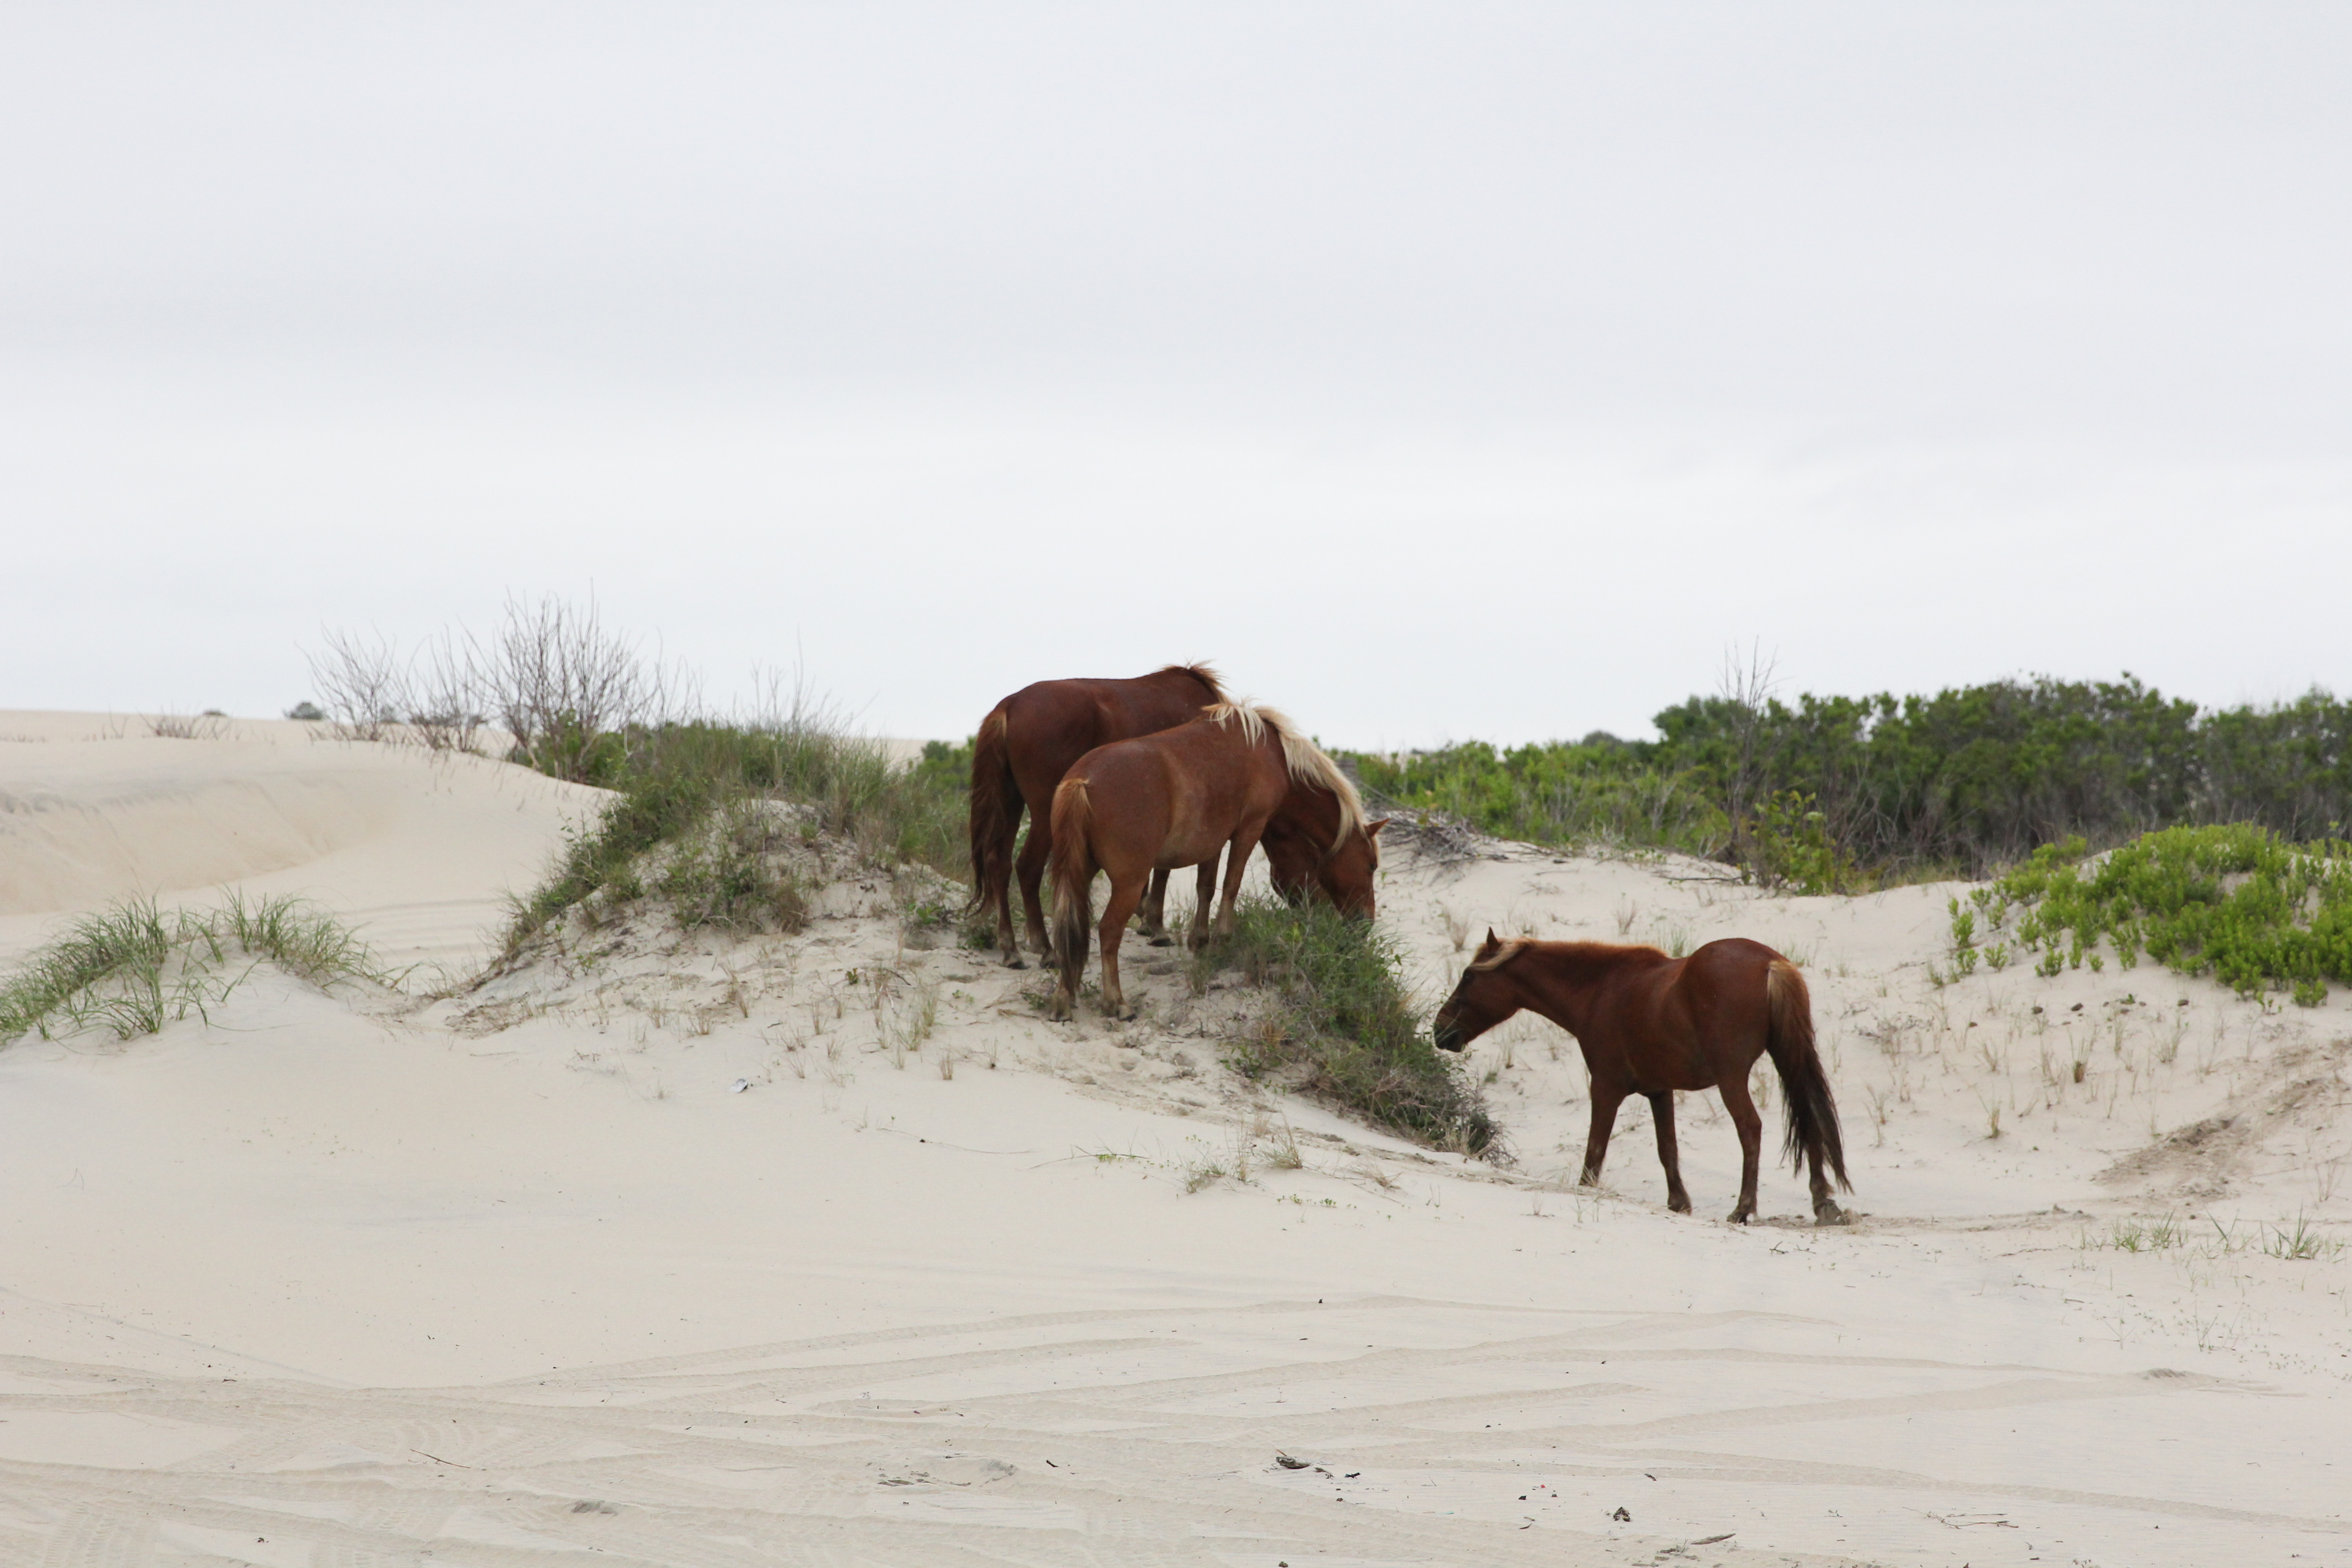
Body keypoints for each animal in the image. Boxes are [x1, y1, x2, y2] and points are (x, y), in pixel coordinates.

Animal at [968, 664, 1227, 968]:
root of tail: (1010, 705)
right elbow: (1169, 871)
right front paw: (1156, 926)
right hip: (1045, 814)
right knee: (1028, 867)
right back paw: (1046, 948)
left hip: (1010, 803)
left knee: (999, 863)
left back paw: (1011, 949)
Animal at [1047, 703, 1386, 1021]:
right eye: (1371, 865)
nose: (1365, 922)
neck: (1272, 753)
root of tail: (1082, 780)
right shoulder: (1249, 828)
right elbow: (1231, 883)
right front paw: (1223, 937)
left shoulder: (1211, 840)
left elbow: (1206, 887)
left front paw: (1200, 941)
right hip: (1129, 884)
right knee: (1108, 931)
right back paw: (1116, 1002)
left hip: (1077, 877)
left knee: (1072, 926)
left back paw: (1064, 998)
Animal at [1433, 932, 1851, 1224]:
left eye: (1468, 976)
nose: (1440, 1030)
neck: (1601, 988)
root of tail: (1771, 963)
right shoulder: (1659, 1091)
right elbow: (1668, 1150)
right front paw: (1679, 1203)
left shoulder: (1605, 1088)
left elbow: (1595, 1150)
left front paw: (1587, 1191)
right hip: (1790, 1060)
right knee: (1810, 1119)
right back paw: (1823, 1203)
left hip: (1732, 1078)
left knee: (1751, 1129)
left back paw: (1743, 1208)